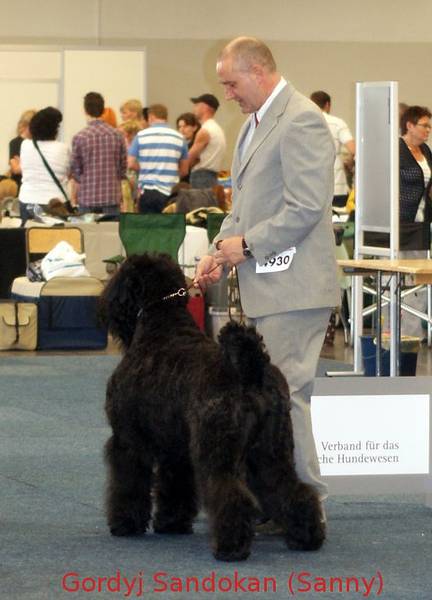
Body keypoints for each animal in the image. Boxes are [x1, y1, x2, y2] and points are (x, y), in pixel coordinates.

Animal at [100, 253, 325, 561]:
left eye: (122, 274)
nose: (107, 303)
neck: (162, 326)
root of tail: (250, 369)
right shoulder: (176, 447)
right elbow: (175, 485)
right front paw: (172, 523)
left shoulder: (128, 440)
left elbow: (128, 482)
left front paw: (125, 523)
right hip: (270, 451)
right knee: (290, 487)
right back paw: (306, 536)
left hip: (219, 451)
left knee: (230, 494)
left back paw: (231, 547)